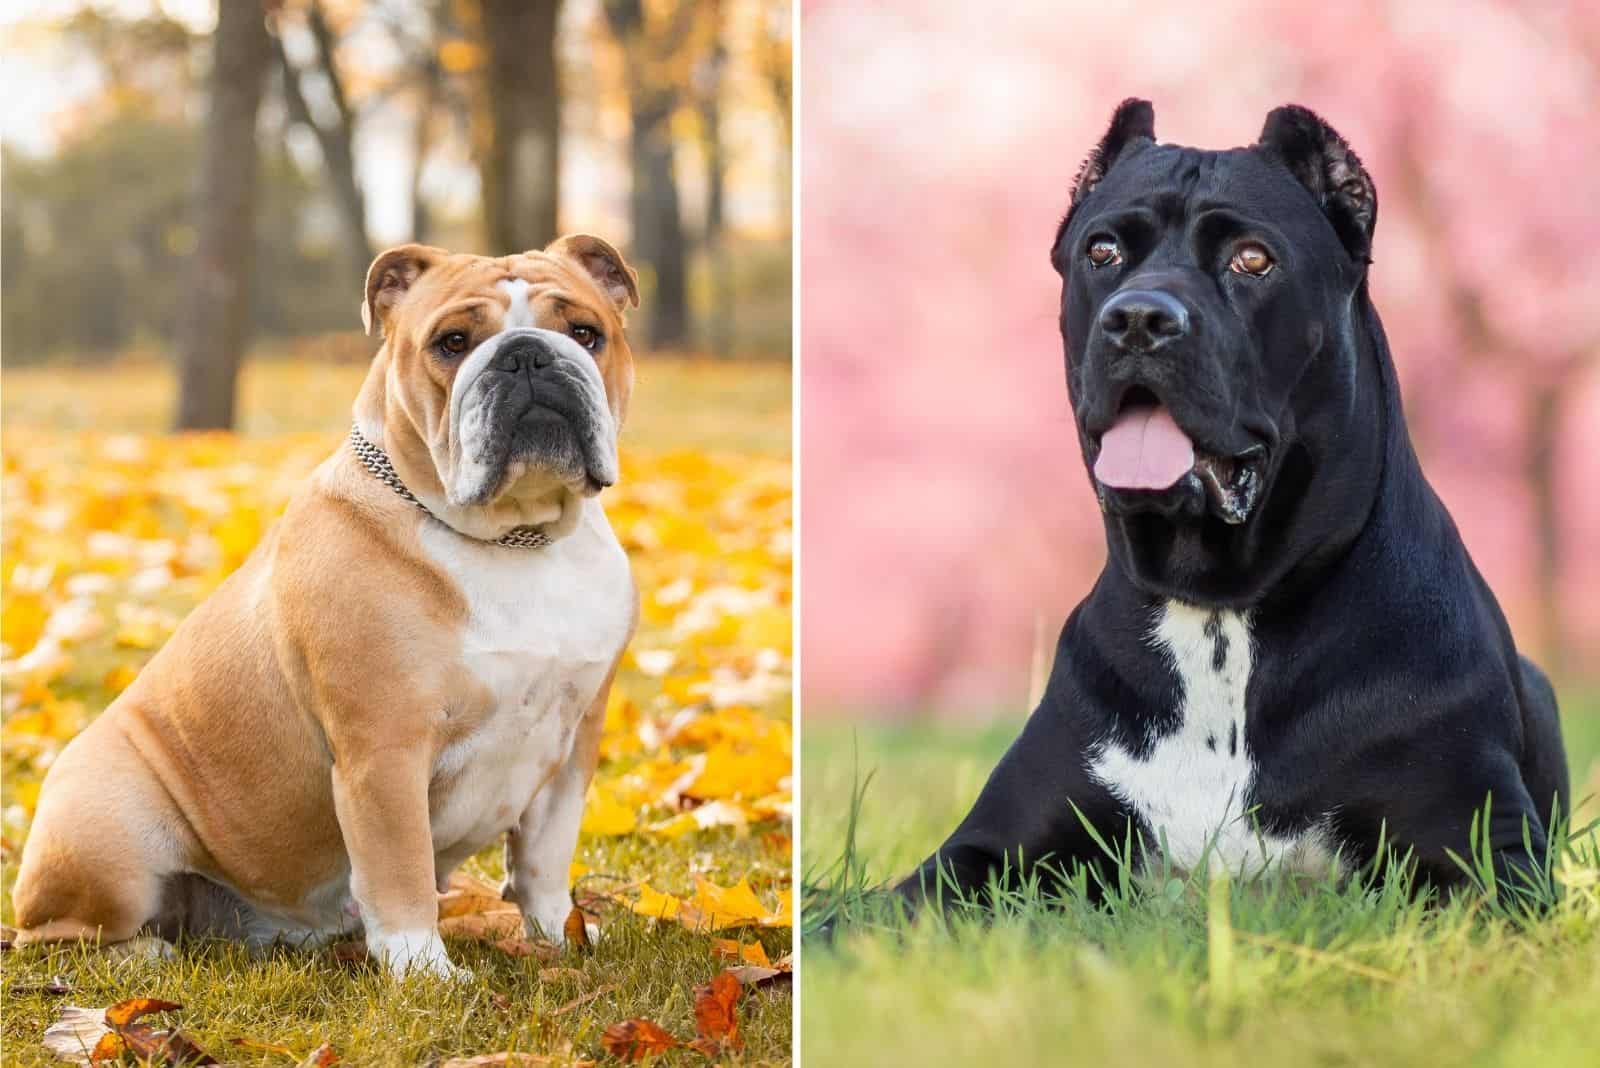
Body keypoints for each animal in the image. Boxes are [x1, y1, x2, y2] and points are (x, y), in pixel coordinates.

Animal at [896, 99, 1568, 908]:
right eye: (1101, 251)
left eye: (1252, 260)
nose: (1138, 319)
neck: (1220, 610)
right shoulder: (983, 850)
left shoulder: (1488, 856)